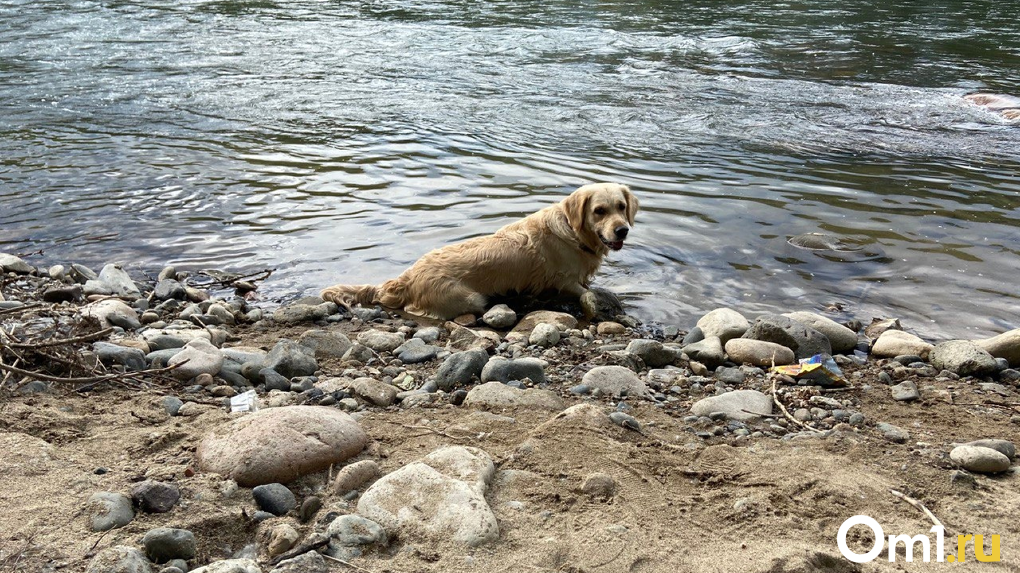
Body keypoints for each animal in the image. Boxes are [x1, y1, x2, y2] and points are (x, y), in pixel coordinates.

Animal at [322, 181, 636, 318]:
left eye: (621, 207)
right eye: (599, 211)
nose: (622, 230)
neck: (573, 231)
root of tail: (406, 278)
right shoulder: (562, 280)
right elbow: (585, 293)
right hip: (470, 298)